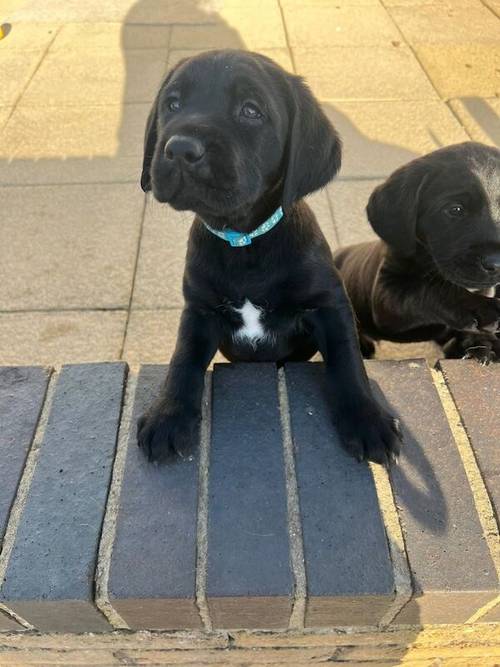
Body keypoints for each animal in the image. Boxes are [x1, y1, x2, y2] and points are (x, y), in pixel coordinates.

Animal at [135, 51, 400, 464]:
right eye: (173, 104)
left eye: (251, 111)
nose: (180, 148)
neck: (243, 241)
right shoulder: (199, 310)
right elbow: (183, 360)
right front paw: (168, 415)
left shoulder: (328, 305)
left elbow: (347, 361)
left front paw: (366, 419)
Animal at [332, 142, 500, 368]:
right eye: (455, 210)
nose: (497, 263)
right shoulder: (387, 295)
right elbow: (428, 290)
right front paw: (480, 309)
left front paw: (480, 344)